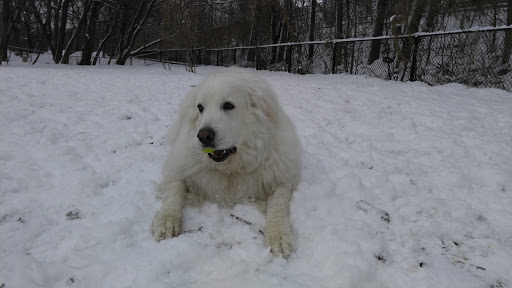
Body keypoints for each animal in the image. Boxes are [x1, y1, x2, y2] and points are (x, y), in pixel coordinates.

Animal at [153, 67, 304, 256]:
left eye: (228, 105)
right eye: (200, 108)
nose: (203, 136)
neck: (231, 168)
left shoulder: (282, 179)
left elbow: (278, 206)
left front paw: (279, 236)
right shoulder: (180, 169)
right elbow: (174, 192)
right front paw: (166, 222)